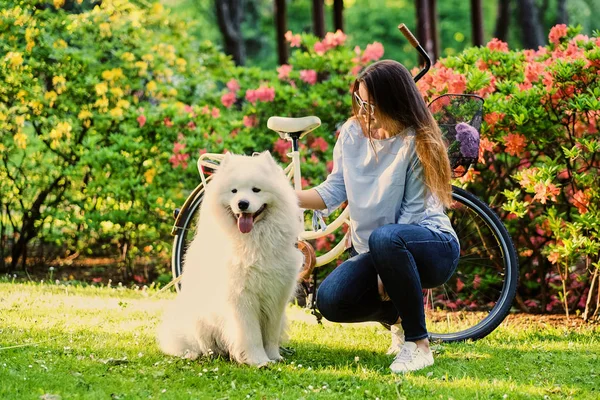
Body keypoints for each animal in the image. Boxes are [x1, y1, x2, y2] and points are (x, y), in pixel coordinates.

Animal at [158, 152, 304, 368]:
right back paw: (202, 353)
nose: (242, 203)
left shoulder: (276, 297)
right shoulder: (241, 298)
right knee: (196, 344)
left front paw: (274, 357)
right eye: (234, 191)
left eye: (256, 190)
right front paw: (258, 360)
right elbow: (251, 335)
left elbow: (270, 334)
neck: (252, 242)